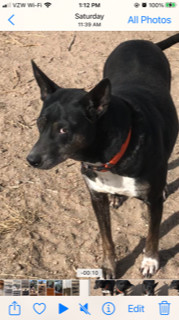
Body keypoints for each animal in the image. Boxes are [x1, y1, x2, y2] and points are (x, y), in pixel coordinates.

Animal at [26, 34, 179, 278]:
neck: (108, 158)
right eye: (40, 123)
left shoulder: (153, 203)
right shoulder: (96, 197)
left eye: (64, 130)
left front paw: (150, 261)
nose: (32, 160)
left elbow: (153, 233)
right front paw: (109, 266)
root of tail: (141, 41)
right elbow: (106, 238)